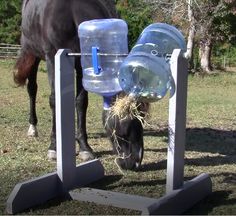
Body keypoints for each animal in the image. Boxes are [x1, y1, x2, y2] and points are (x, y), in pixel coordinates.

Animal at [14, 0, 146, 170]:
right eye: (126, 123)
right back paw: (32, 128)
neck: (70, 12)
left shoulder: (83, 66)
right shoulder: (52, 59)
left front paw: (84, 148)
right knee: (32, 89)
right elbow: (54, 100)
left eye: (142, 119)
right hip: (32, 54)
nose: (135, 162)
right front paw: (54, 147)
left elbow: (81, 102)